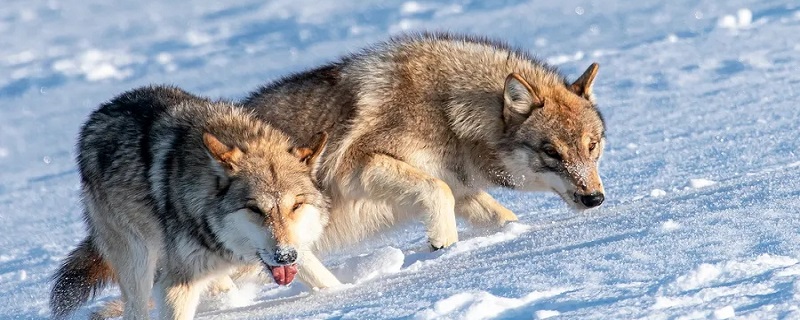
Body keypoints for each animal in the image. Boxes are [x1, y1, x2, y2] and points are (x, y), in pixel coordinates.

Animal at [50, 86, 332, 318]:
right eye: (255, 209)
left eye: (295, 206)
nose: (285, 256)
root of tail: (98, 114)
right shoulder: (177, 283)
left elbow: (325, 279)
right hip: (137, 260)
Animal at [244, 33, 608, 290]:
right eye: (552, 152)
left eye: (592, 146)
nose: (595, 198)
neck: (449, 114)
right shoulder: (358, 164)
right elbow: (437, 192)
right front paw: (443, 247)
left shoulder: (461, 185)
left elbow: (503, 217)